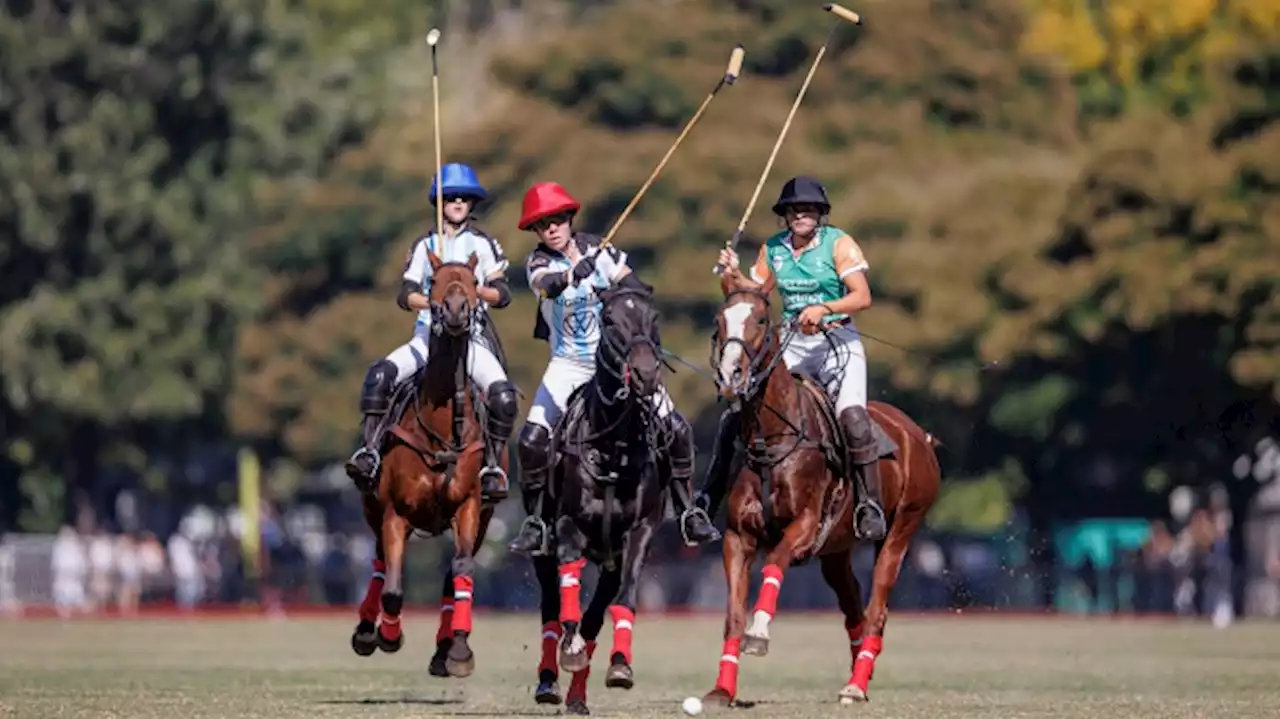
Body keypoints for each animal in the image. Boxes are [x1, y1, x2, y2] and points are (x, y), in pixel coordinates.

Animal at [350, 252, 509, 675]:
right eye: (433, 281)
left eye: (473, 280)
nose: (455, 310)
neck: (441, 425)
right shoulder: (396, 512)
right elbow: (392, 588)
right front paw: (388, 635)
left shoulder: (470, 508)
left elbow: (462, 572)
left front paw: (458, 651)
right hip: (372, 505)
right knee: (379, 562)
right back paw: (366, 631)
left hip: (484, 517)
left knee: (452, 574)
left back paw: (443, 649)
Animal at [527, 284, 686, 711]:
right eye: (610, 319)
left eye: (654, 317)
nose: (646, 374)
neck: (613, 443)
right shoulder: (568, 527)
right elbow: (568, 598)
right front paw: (569, 650)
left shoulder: (639, 532)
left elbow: (624, 600)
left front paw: (620, 666)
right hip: (541, 546)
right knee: (550, 609)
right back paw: (548, 682)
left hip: (610, 561)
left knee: (596, 616)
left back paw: (577, 697)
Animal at [701, 272, 942, 701]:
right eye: (719, 320)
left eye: (760, 319)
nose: (731, 376)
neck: (772, 438)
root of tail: (920, 436)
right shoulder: (738, 537)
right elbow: (732, 615)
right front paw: (722, 691)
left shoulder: (805, 526)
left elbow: (775, 561)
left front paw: (759, 633)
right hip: (836, 550)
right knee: (855, 609)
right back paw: (859, 676)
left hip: (902, 527)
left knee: (877, 608)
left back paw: (855, 687)